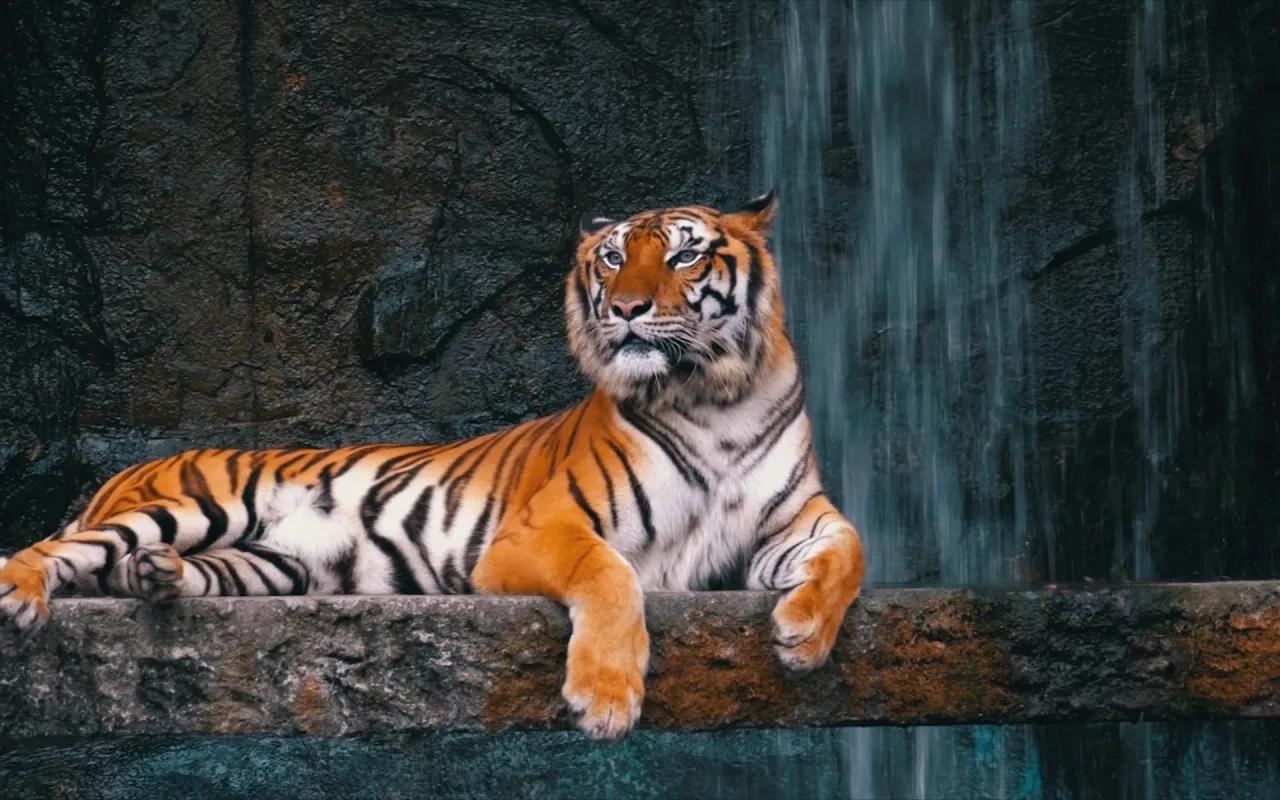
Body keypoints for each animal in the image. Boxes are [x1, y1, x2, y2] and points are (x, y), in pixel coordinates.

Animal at [0, 192, 865, 741]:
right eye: (614, 257)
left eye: (685, 254)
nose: (626, 310)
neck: (715, 398)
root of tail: (115, 479)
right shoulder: (537, 532)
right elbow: (611, 574)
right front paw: (606, 699)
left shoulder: (791, 522)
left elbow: (849, 547)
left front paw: (803, 638)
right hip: (192, 505)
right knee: (53, 549)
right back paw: (21, 593)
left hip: (271, 564)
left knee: (148, 568)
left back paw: (158, 577)